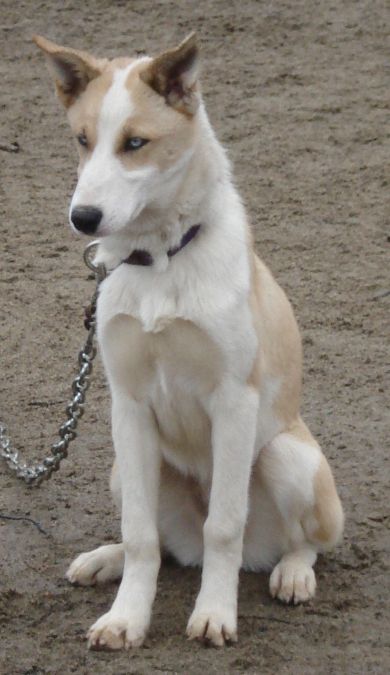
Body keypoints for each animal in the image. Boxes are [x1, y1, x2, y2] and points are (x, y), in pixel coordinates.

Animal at [34, 34, 344, 652]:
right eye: (82, 140)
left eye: (135, 143)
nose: (83, 218)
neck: (160, 259)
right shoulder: (127, 407)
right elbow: (139, 535)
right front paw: (126, 618)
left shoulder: (233, 401)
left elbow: (223, 524)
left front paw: (214, 615)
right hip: (124, 468)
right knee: (166, 546)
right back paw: (103, 561)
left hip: (288, 456)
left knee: (302, 542)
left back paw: (292, 573)